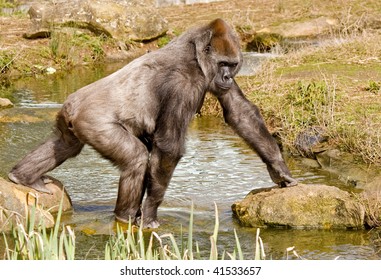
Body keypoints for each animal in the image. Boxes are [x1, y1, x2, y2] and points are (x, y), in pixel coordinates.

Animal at [7, 18, 296, 228]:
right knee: (135, 158)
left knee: (65, 146)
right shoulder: (182, 83)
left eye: (233, 65)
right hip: (92, 121)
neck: (194, 52)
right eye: (223, 63)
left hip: (69, 122)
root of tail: (72, 106)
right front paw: (150, 213)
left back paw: (22, 177)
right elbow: (168, 147)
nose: (226, 77)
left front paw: (278, 168)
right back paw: (124, 217)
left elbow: (240, 113)